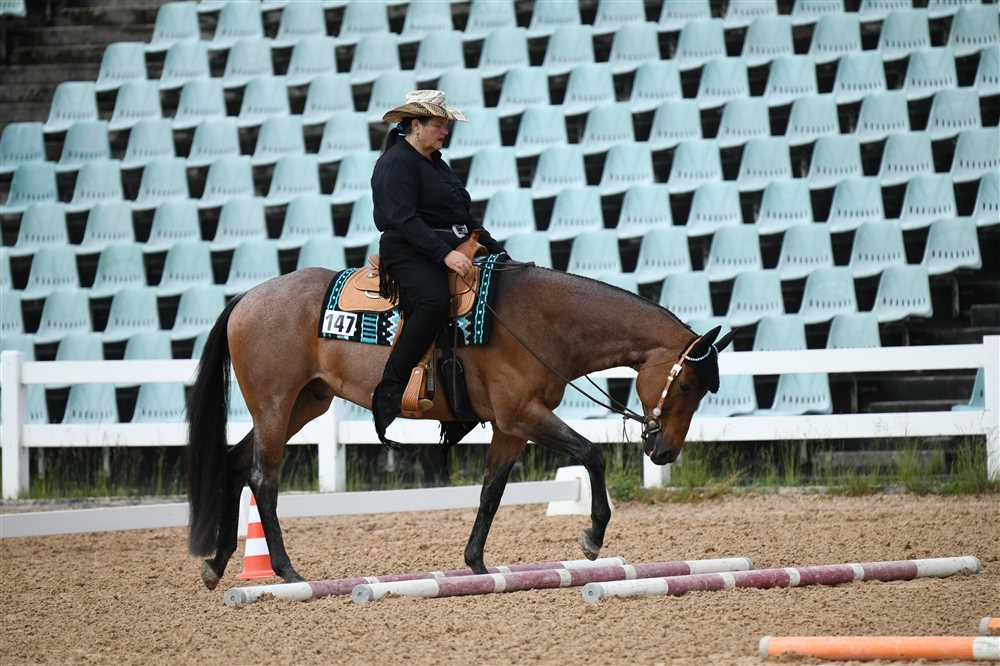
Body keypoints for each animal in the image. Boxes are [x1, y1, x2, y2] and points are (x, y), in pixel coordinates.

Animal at [187, 262, 734, 590]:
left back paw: (216, 563)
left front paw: (476, 565)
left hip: (306, 404)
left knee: (235, 464)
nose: (665, 452)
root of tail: (246, 298)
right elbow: (591, 454)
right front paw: (592, 537)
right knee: (263, 478)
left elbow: (491, 491)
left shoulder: (512, 428)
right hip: (276, 405)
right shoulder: (523, 414)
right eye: (688, 384)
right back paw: (284, 569)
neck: (540, 321)